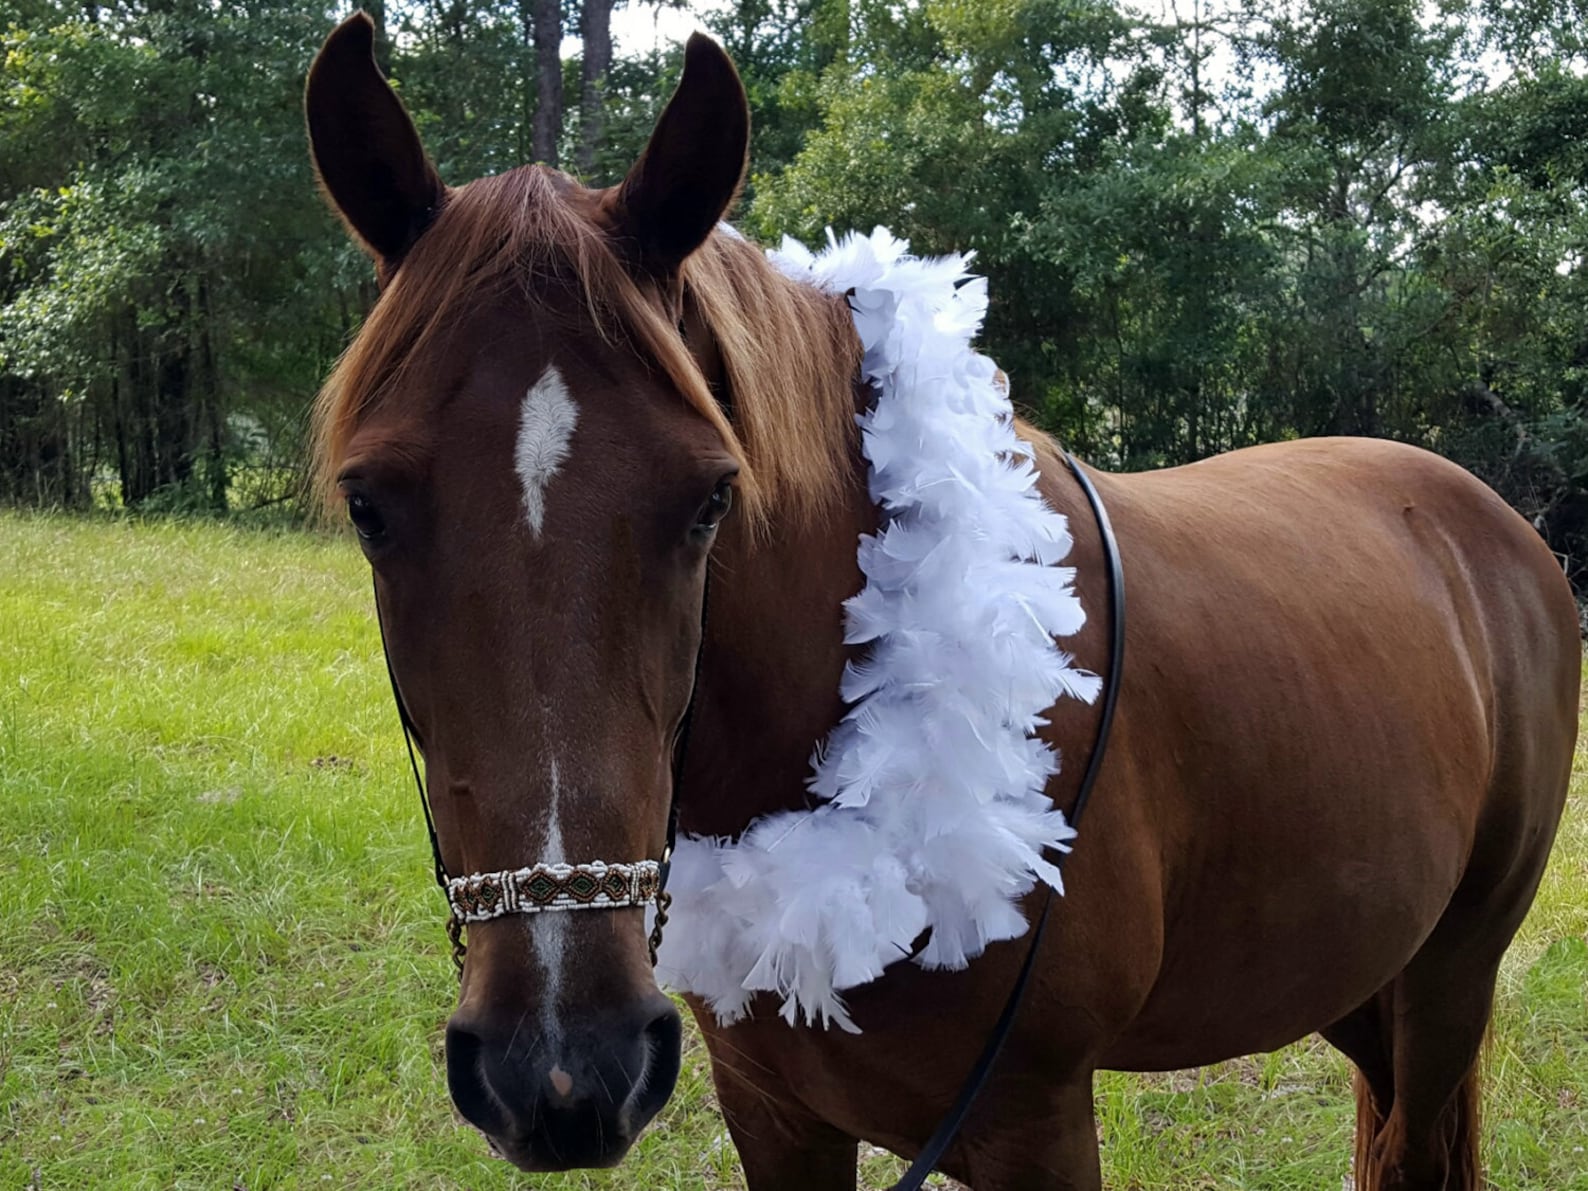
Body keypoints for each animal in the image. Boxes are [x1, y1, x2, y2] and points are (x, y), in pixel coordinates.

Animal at [304, 14, 1578, 1189]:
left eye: (710, 496)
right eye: (368, 506)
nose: (562, 1065)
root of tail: (1493, 523)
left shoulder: (1033, 1128)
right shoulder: (774, 1114)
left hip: (1451, 981)